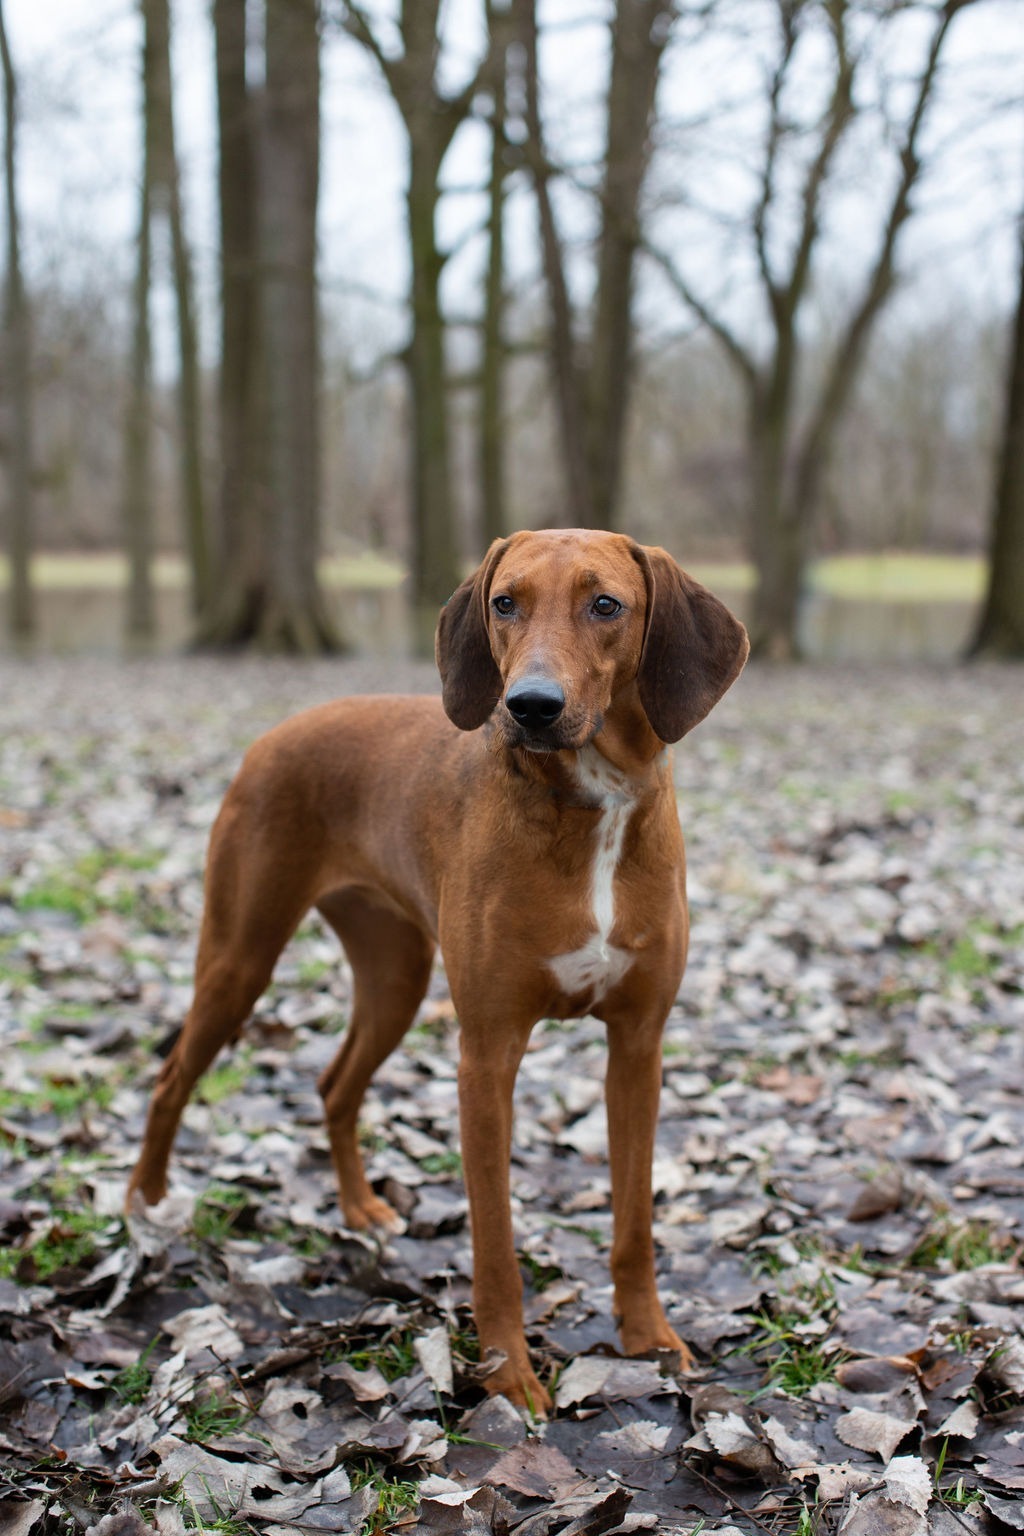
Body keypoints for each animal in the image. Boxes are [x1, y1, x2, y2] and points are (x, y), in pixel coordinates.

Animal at [132, 531, 749, 1413]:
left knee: (335, 1085)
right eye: (505, 602)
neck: (592, 801)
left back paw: (362, 1209)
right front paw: (509, 1375)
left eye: (606, 604)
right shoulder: (487, 1056)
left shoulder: (638, 1046)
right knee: (172, 1076)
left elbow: (634, 1221)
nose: (530, 705)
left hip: (395, 977)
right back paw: (145, 1206)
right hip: (240, 957)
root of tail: (277, 731)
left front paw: (648, 1338)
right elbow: (494, 1242)